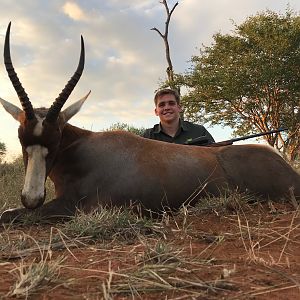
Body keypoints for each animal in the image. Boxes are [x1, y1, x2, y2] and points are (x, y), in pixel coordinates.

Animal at [0, 22, 300, 221]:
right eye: (22, 139)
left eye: (56, 138)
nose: (31, 198)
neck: (80, 149)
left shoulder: (74, 207)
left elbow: (7, 216)